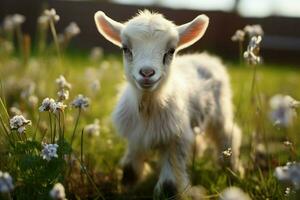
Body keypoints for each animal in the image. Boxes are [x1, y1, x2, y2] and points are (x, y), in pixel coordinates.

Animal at [95, 9, 243, 198]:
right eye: (125, 48)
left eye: (171, 51)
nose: (147, 73)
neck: (148, 106)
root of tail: (206, 58)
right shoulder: (136, 136)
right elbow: (130, 169)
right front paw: (126, 188)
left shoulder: (175, 140)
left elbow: (169, 184)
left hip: (221, 111)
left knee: (228, 135)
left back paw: (231, 169)